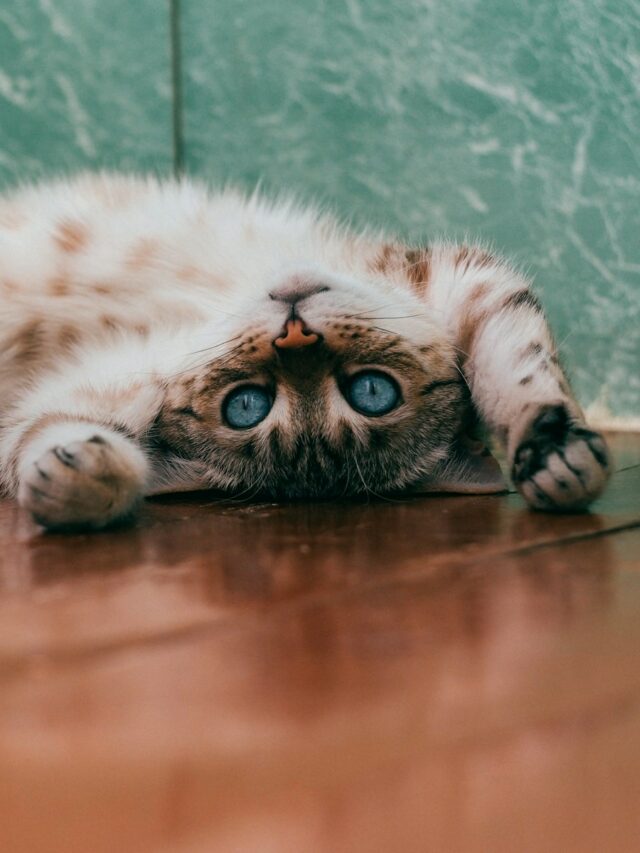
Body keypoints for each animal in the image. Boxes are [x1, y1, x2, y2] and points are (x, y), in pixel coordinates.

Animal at [0, 170, 608, 528]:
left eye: (371, 391)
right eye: (246, 405)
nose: (295, 333)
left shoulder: (461, 281)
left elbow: (519, 370)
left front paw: (556, 455)